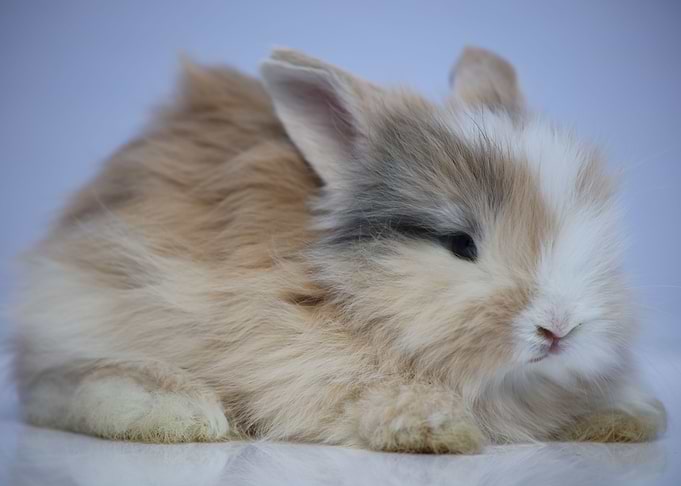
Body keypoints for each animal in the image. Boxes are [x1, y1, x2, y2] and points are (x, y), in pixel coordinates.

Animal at [10, 46, 666, 454]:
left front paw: (631, 419)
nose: (559, 329)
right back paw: (183, 415)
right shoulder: (299, 364)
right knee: (61, 384)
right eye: (460, 244)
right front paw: (438, 429)